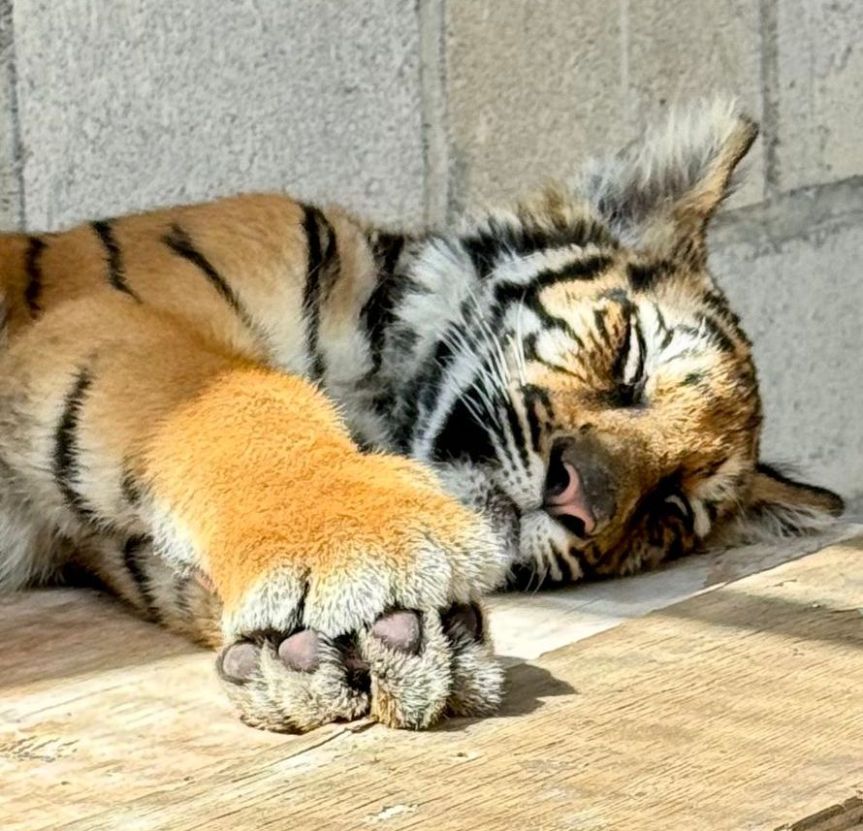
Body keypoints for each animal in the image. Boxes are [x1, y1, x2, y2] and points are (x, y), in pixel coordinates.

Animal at [0, 100, 843, 733]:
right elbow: (241, 401)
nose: (577, 499)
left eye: (667, 509)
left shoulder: (112, 544)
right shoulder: (103, 320)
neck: (374, 400)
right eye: (627, 363)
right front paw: (356, 543)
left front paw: (357, 648)